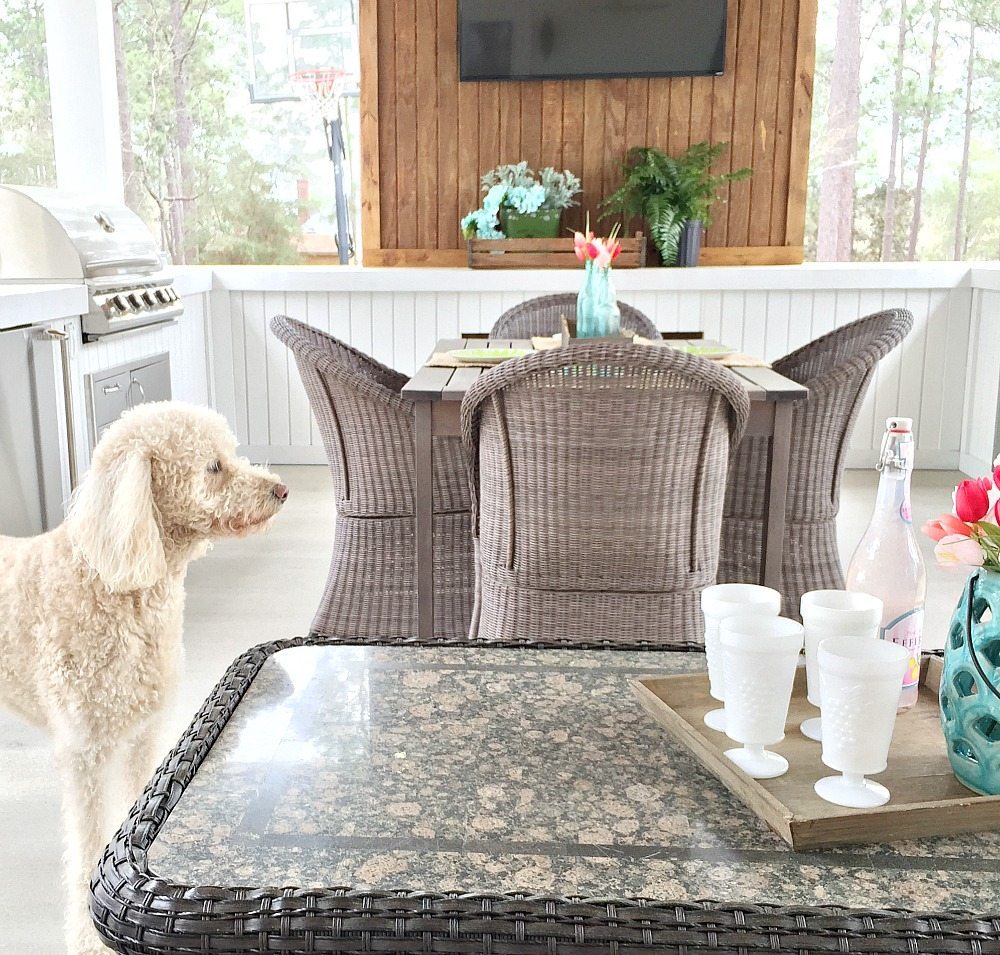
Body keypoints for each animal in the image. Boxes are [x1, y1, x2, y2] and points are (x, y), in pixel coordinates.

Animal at [0, 402, 290, 955]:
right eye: (213, 467)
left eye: (230, 453)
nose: (280, 490)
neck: (117, 585)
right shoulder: (84, 752)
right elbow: (88, 841)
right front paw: (87, 939)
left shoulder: (144, 734)